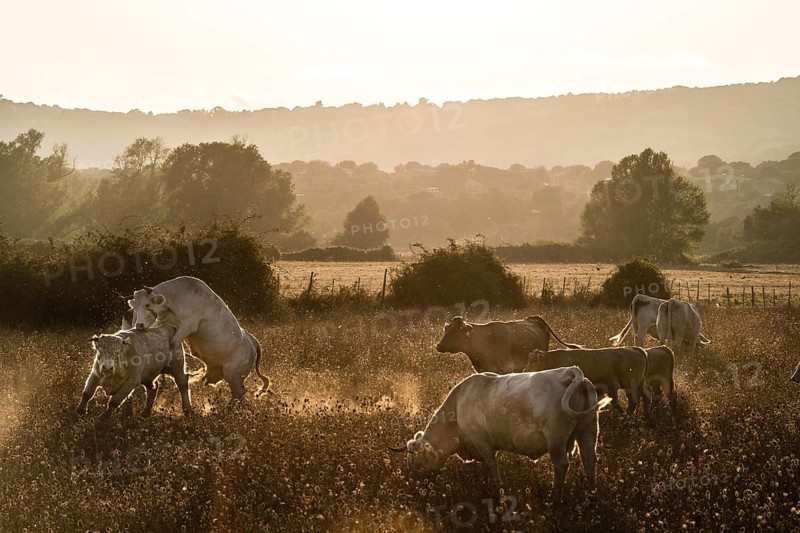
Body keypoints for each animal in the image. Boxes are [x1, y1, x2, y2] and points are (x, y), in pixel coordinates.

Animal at [126, 276, 270, 400]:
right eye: (135, 306)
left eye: (147, 305)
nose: (139, 325)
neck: (177, 298)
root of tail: (252, 342)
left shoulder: (188, 326)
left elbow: (173, 343)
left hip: (233, 376)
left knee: (239, 393)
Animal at [392, 367, 611, 499]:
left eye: (415, 460)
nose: (412, 482)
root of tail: (569, 372)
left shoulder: (482, 442)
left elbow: (491, 466)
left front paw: (496, 490)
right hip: (587, 430)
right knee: (589, 460)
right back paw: (591, 494)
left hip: (555, 440)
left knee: (561, 465)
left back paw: (554, 497)